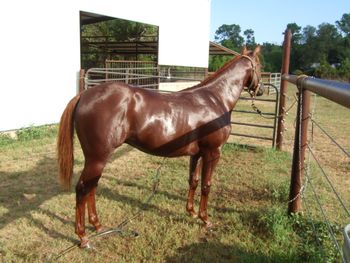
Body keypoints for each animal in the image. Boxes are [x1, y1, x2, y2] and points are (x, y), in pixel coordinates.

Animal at [56, 46, 262, 248]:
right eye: (259, 65)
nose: (260, 91)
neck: (214, 99)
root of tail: (84, 95)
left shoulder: (197, 154)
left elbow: (193, 181)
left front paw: (191, 212)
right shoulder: (213, 152)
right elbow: (206, 185)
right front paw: (205, 219)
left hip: (98, 159)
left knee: (92, 187)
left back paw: (98, 225)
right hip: (97, 158)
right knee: (82, 189)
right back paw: (83, 237)